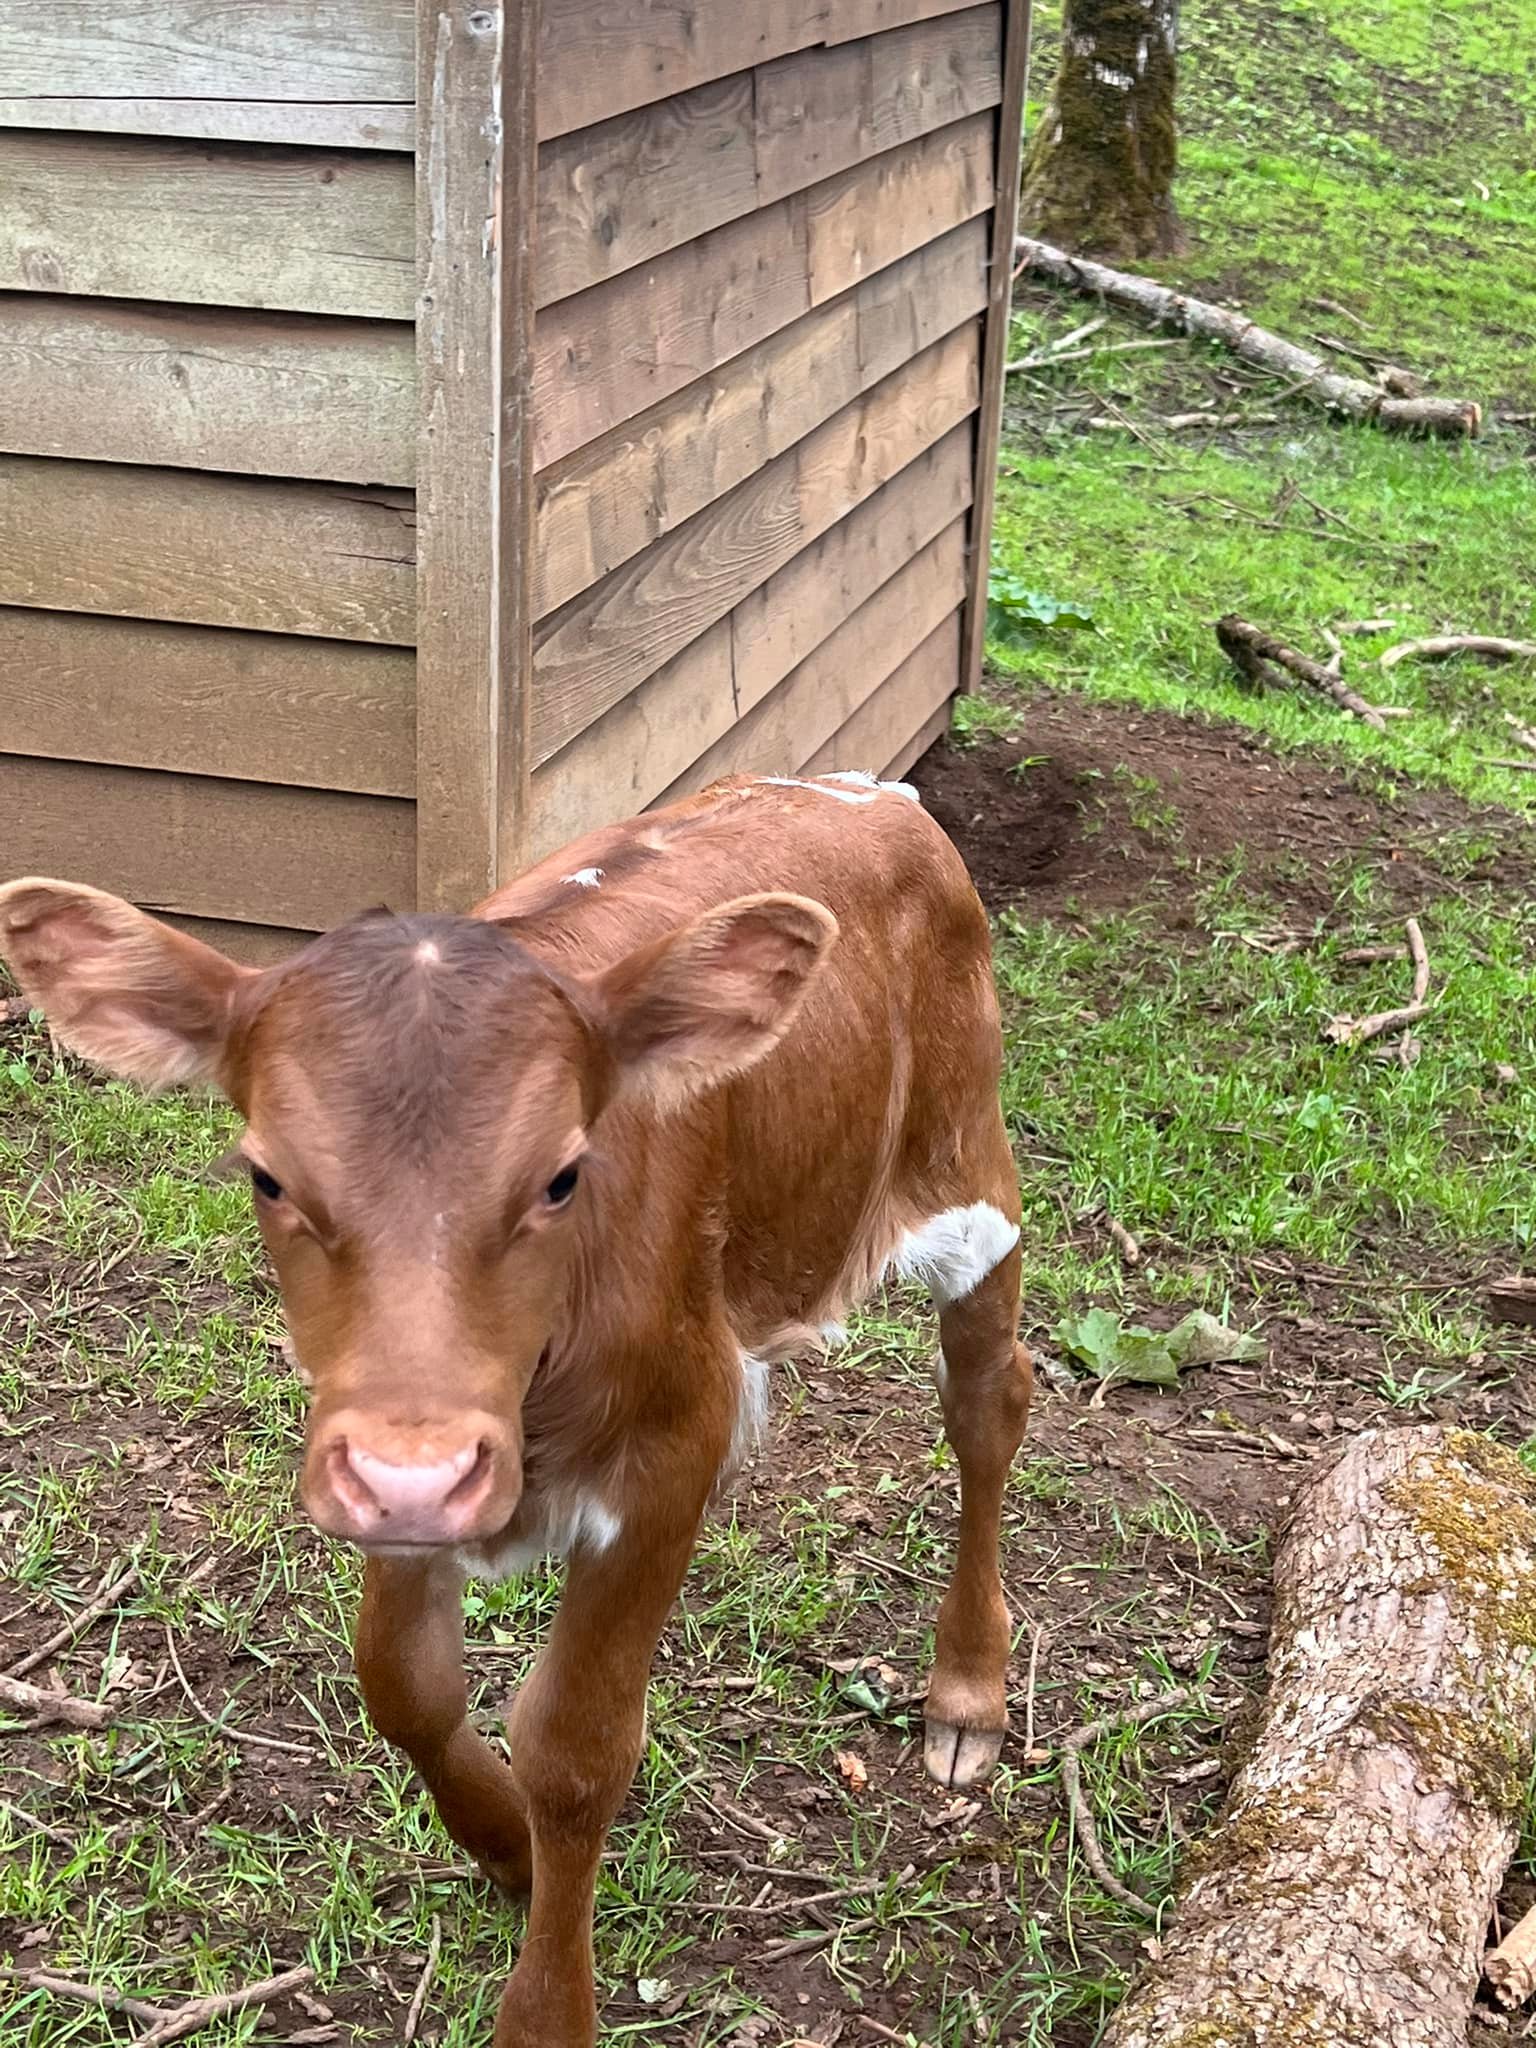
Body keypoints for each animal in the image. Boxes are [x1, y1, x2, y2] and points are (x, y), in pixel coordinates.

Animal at [3, 770, 1036, 2048]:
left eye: (562, 1173)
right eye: (267, 1174)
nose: (418, 1470)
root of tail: (866, 789)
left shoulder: (674, 1442)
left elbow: (576, 1749)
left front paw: (548, 1996)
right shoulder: (392, 1447)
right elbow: (403, 1681)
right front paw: (503, 1845)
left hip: (968, 1163)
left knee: (988, 1402)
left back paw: (969, 1686)